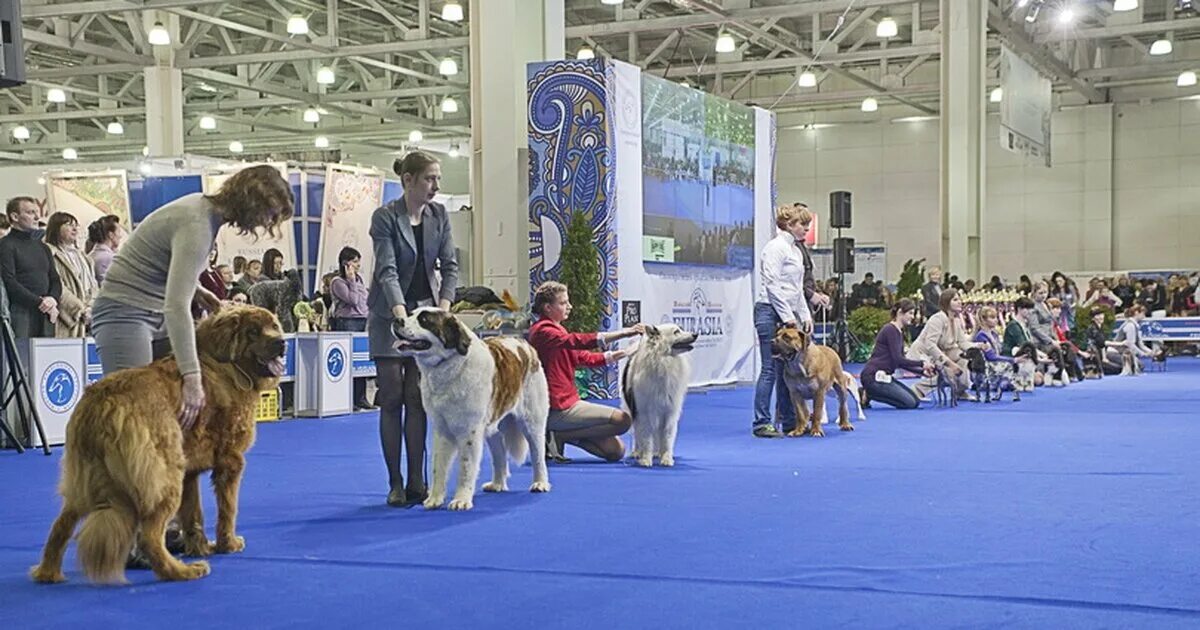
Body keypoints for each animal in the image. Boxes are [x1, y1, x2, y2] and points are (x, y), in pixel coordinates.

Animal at [31, 304, 285, 585]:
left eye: (274, 326)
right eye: (253, 332)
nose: (282, 343)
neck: (225, 365)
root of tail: (104, 402)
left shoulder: (190, 472)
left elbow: (193, 515)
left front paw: (200, 546)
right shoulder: (231, 461)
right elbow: (228, 509)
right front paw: (227, 544)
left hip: (85, 478)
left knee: (61, 526)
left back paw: (48, 573)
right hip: (163, 477)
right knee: (148, 535)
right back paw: (182, 571)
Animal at [391, 307, 549, 508]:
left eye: (424, 320)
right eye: (410, 314)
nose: (397, 320)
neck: (449, 364)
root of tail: (524, 343)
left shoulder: (469, 432)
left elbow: (466, 467)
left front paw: (461, 499)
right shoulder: (442, 430)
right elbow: (438, 466)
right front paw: (434, 499)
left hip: (531, 422)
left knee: (538, 454)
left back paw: (540, 483)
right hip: (493, 426)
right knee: (499, 454)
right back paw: (497, 484)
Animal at [619, 324, 696, 465]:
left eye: (680, 329)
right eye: (676, 332)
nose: (695, 334)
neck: (663, 360)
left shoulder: (669, 412)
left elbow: (667, 436)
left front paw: (666, 458)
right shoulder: (643, 411)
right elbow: (646, 436)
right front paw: (645, 459)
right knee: (637, 433)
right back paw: (638, 452)